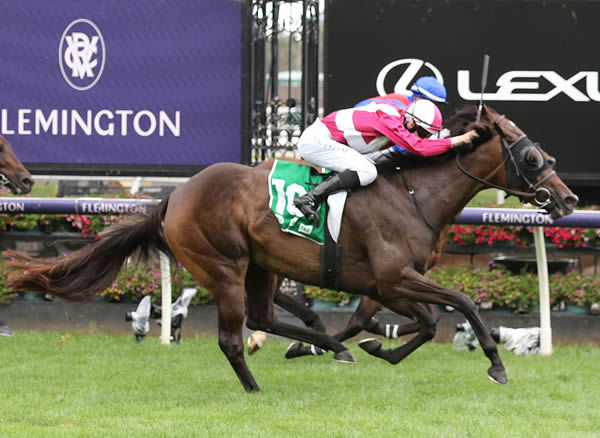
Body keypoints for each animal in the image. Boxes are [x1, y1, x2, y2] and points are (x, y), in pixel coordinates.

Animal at [4, 106, 576, 394]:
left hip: (262, 267)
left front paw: (377, 347)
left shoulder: (386, 285)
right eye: (531, 156)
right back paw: (257, 386)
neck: (415, 194)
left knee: (266, 317)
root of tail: (174, 197)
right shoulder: (394, 278)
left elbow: (422, 321)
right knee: (233, 337)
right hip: (225, 267)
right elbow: (461, 305)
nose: (568, 199)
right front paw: (496, 365)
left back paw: (322, 347)